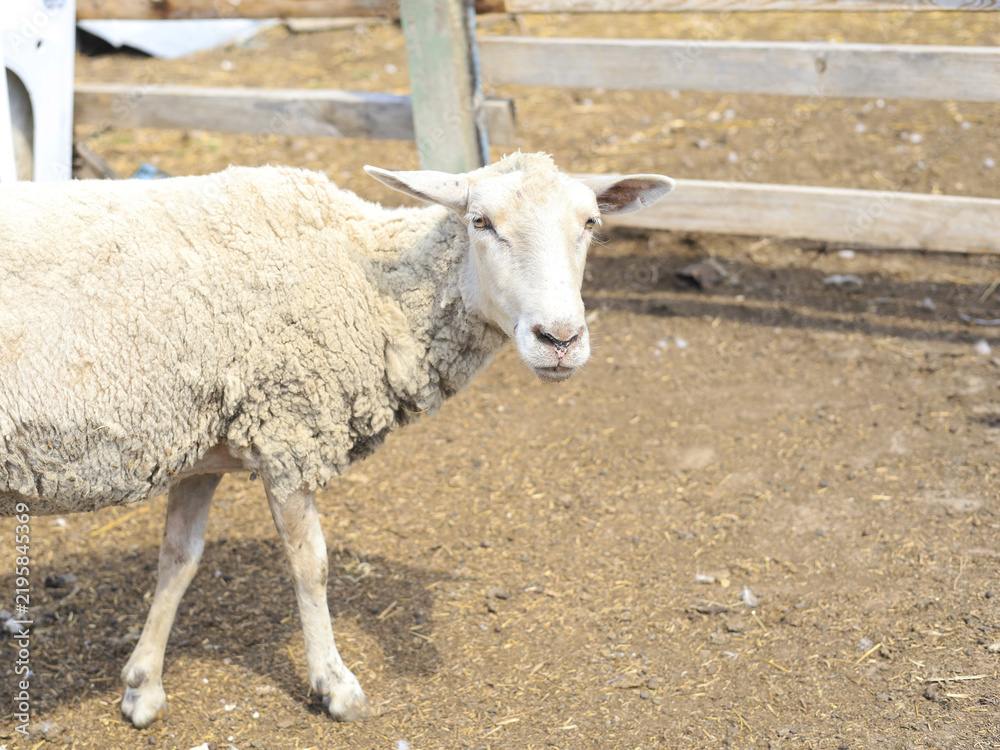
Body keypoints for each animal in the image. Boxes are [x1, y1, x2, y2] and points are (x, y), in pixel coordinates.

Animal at [0, 151, 675, 726]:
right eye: (481, 221)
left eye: (590, 222)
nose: (560, 339)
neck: (365, 275)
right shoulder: (291, 427)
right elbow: (312, 566)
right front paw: (335, 684)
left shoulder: (203, 450)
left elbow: (179, 560)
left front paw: (143, 686)